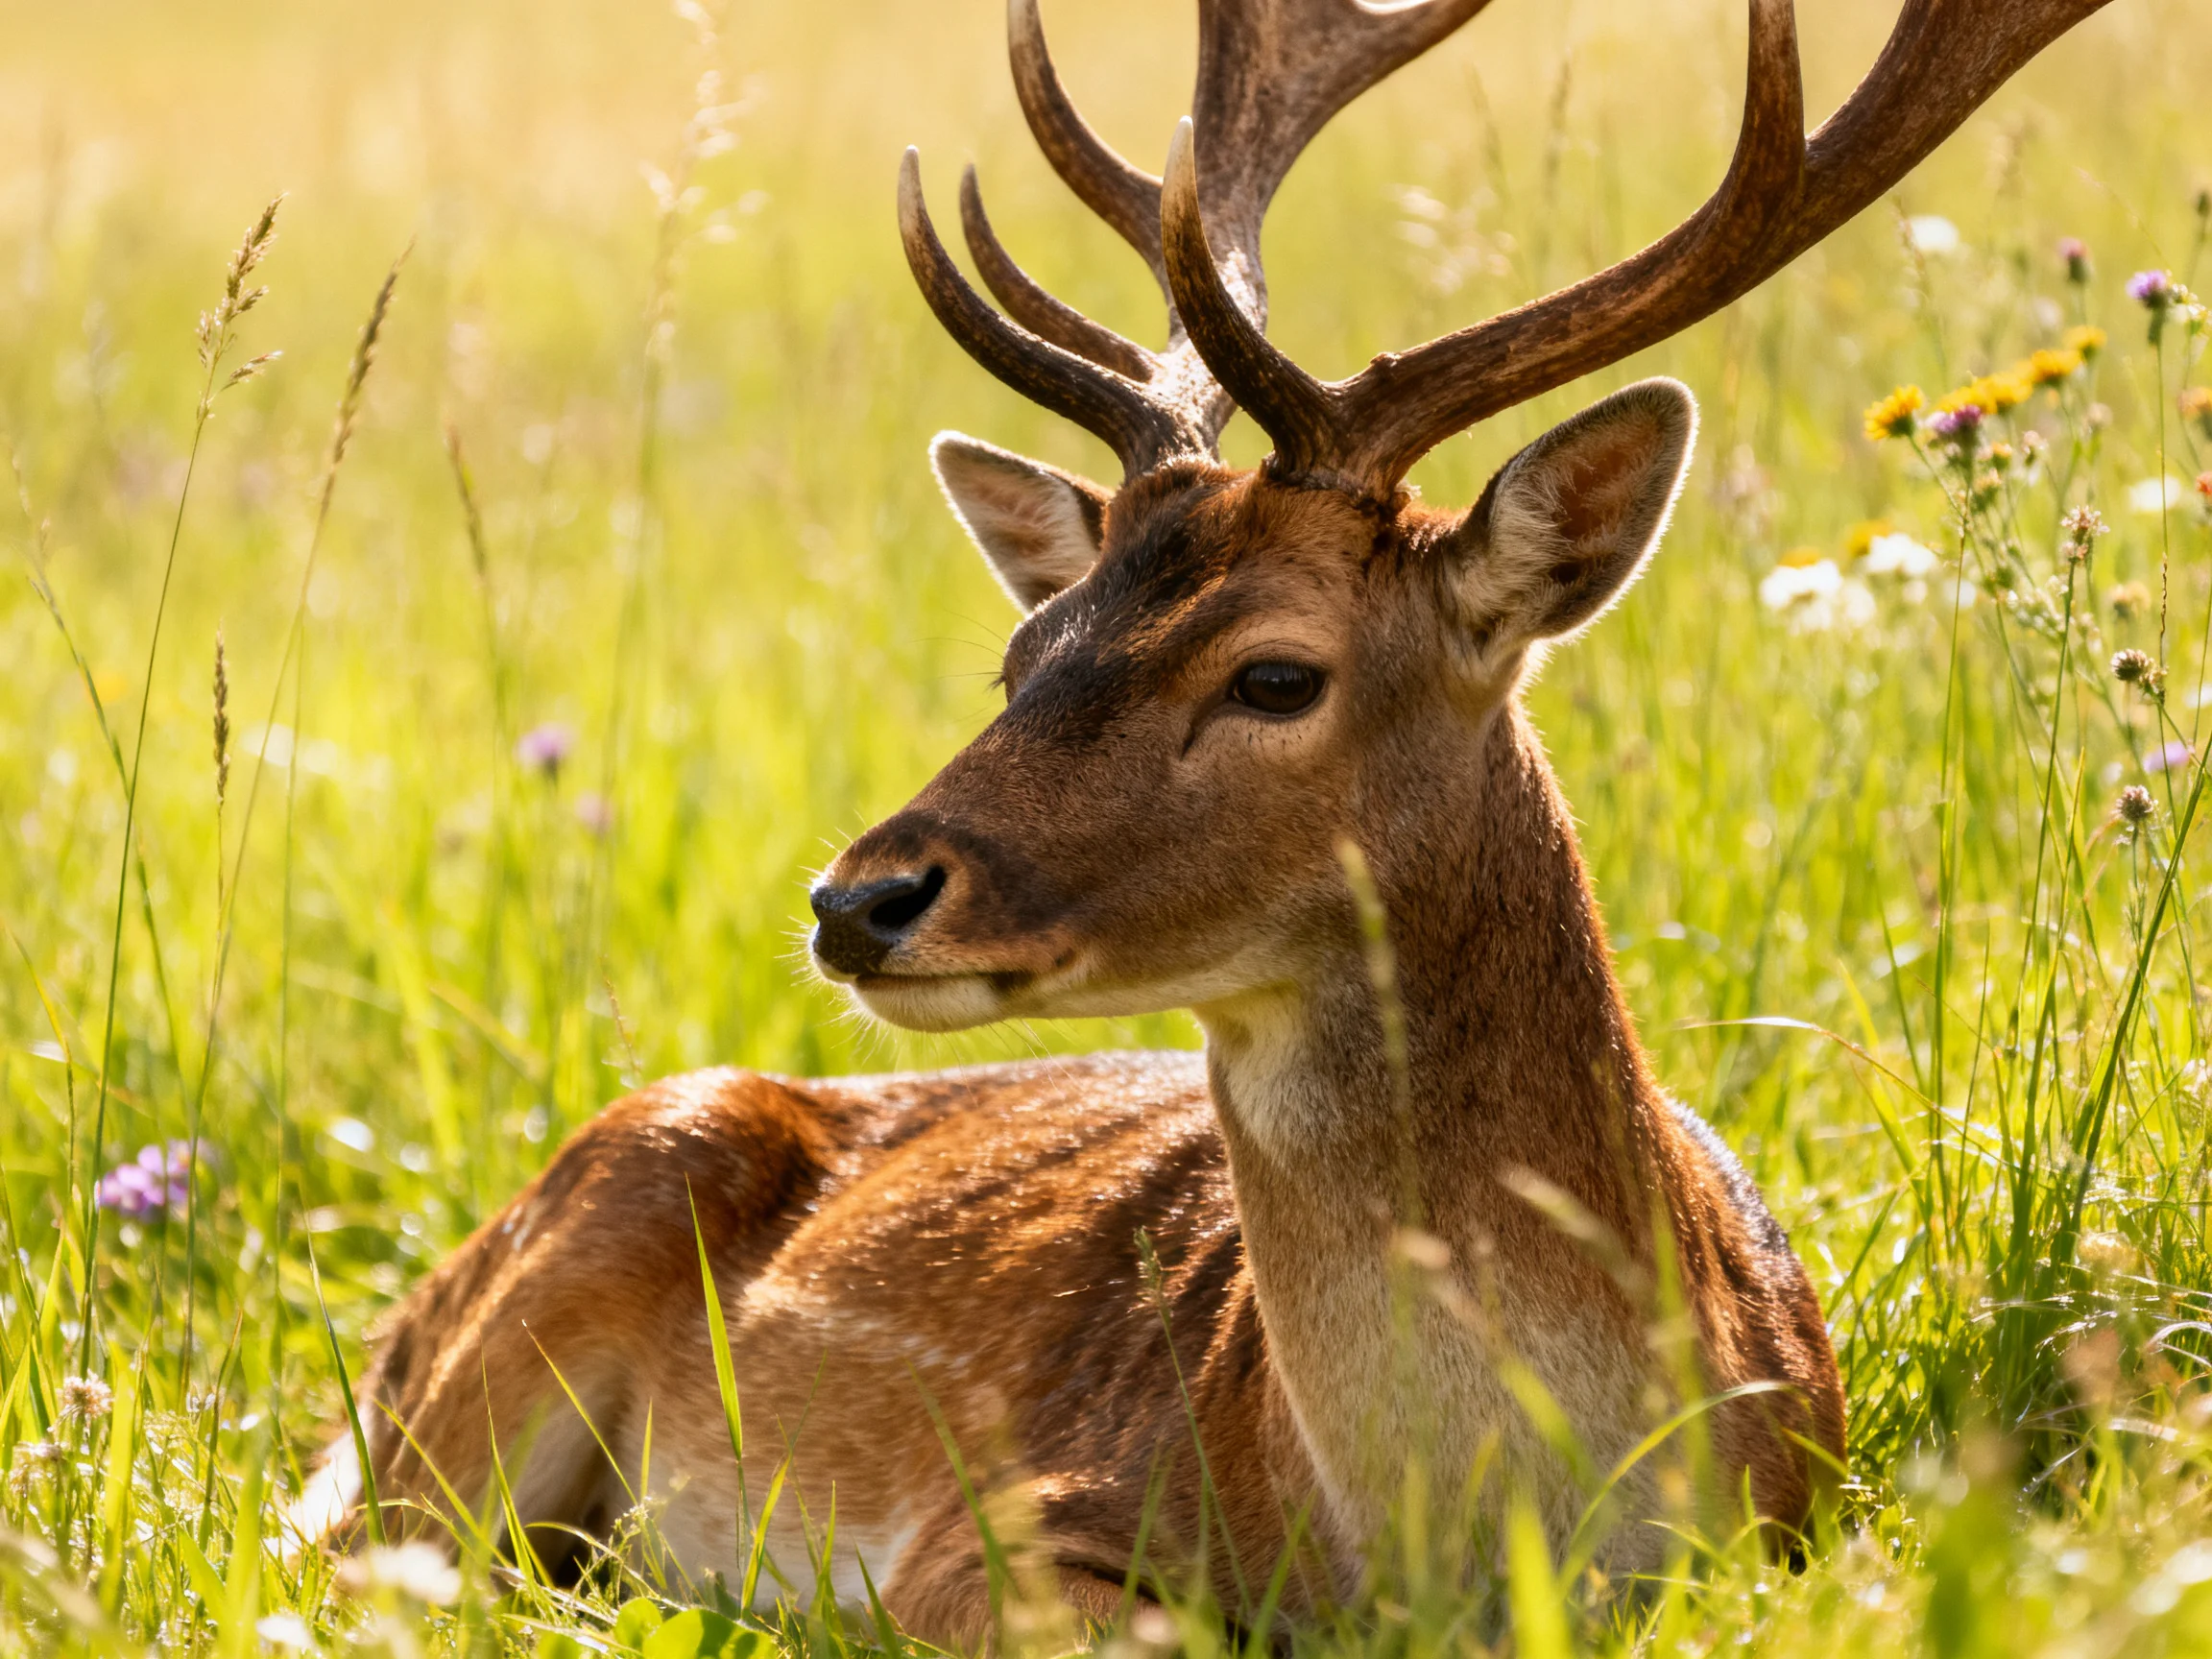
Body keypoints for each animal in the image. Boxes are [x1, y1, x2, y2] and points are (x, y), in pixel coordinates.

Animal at [297, 0, 2115, 1644]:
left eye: (1273, 674)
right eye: (1027, 649)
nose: (858, 896)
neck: (1471, 1546)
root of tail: (394, 1331)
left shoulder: (1806, 1523)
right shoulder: (998, 1531)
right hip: (528, 1315)